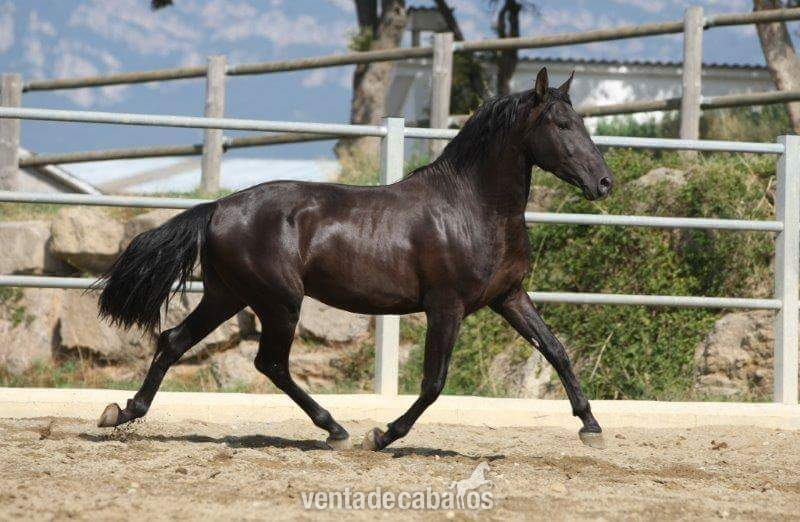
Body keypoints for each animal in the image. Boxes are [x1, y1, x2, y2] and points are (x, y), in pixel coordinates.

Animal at [94, 67, 613, 452]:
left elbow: (556, 350)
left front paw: (591, 426)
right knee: (270, 363)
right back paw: (337, 430)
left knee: (174, 341)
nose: (604, 183)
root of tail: (218, 207)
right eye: (562, 125)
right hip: (279, 301)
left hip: (229, 295)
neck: (471, 207)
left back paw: (122, 413)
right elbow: (434, 382)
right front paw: (382, 435)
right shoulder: (446, 306)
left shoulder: (509, 296)